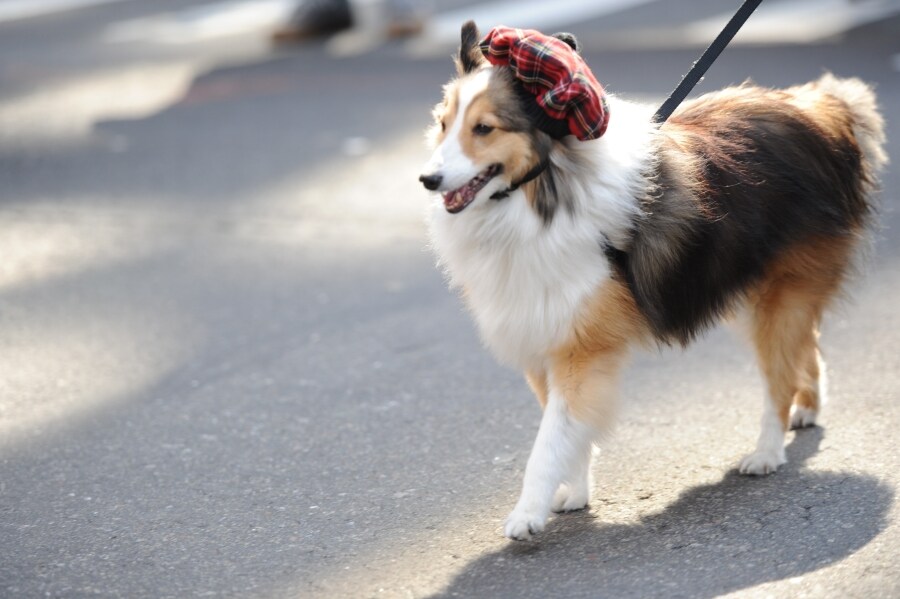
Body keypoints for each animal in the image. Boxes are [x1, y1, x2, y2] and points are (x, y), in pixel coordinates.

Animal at [418, 21, 888, 540]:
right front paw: (574, 494)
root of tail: (824, 109)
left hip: (778, 296)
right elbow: (569, 432)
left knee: (777, 379)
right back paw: (809, 407)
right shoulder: (543, 337)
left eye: (484, 128)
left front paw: (527, 513)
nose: (427, 179)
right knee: (809, 347)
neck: (544, 197)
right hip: (751, 292)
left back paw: (767, 451)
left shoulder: (579, 348)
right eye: (443, 123)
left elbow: (549, 442)